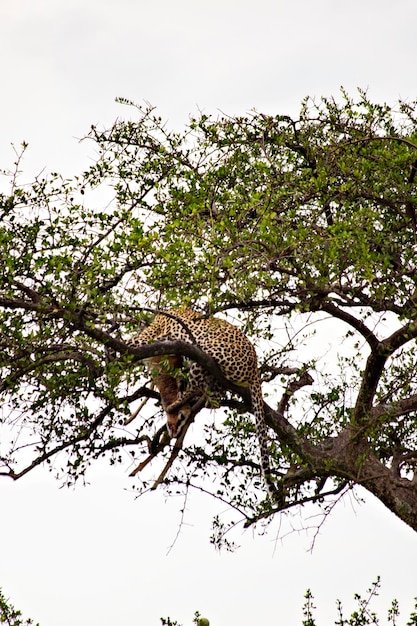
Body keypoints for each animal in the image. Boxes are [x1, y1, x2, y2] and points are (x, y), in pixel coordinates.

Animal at [132, 306, 278, 498]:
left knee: (194, 386)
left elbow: (131, 342)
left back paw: (175, 406)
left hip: (204, 352)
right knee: (212, 397)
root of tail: (255, 367)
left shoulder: (150, 337)